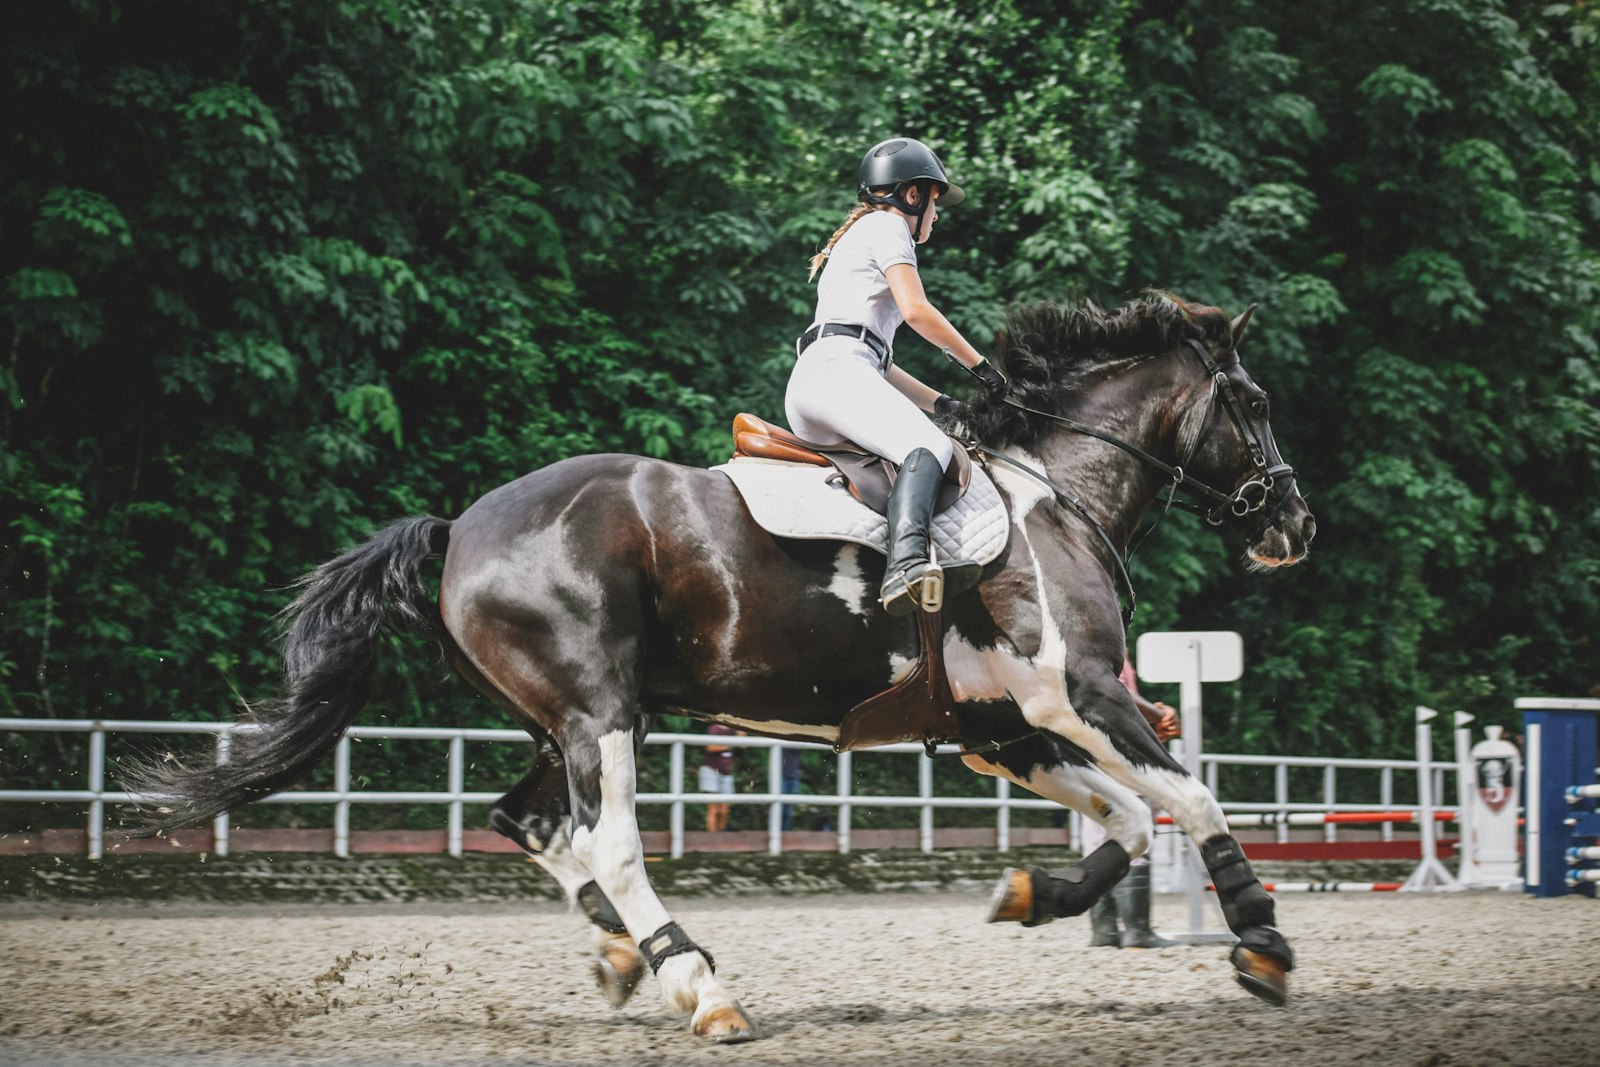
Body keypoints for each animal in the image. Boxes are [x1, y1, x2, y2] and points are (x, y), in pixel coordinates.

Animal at [124, 292, 1312, 1043]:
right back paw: (699, 986)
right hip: (600, 712)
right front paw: (1260, 942)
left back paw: (626, 954)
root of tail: (460, 525)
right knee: (605, 840)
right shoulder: (1080, 693)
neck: (1053, 491)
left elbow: (1128, 820)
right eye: (1253, 405)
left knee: (530, 824)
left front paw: (1032, 893)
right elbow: (1192, 796)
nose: (1294, 526)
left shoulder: (1005, 730)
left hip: (566, 721)